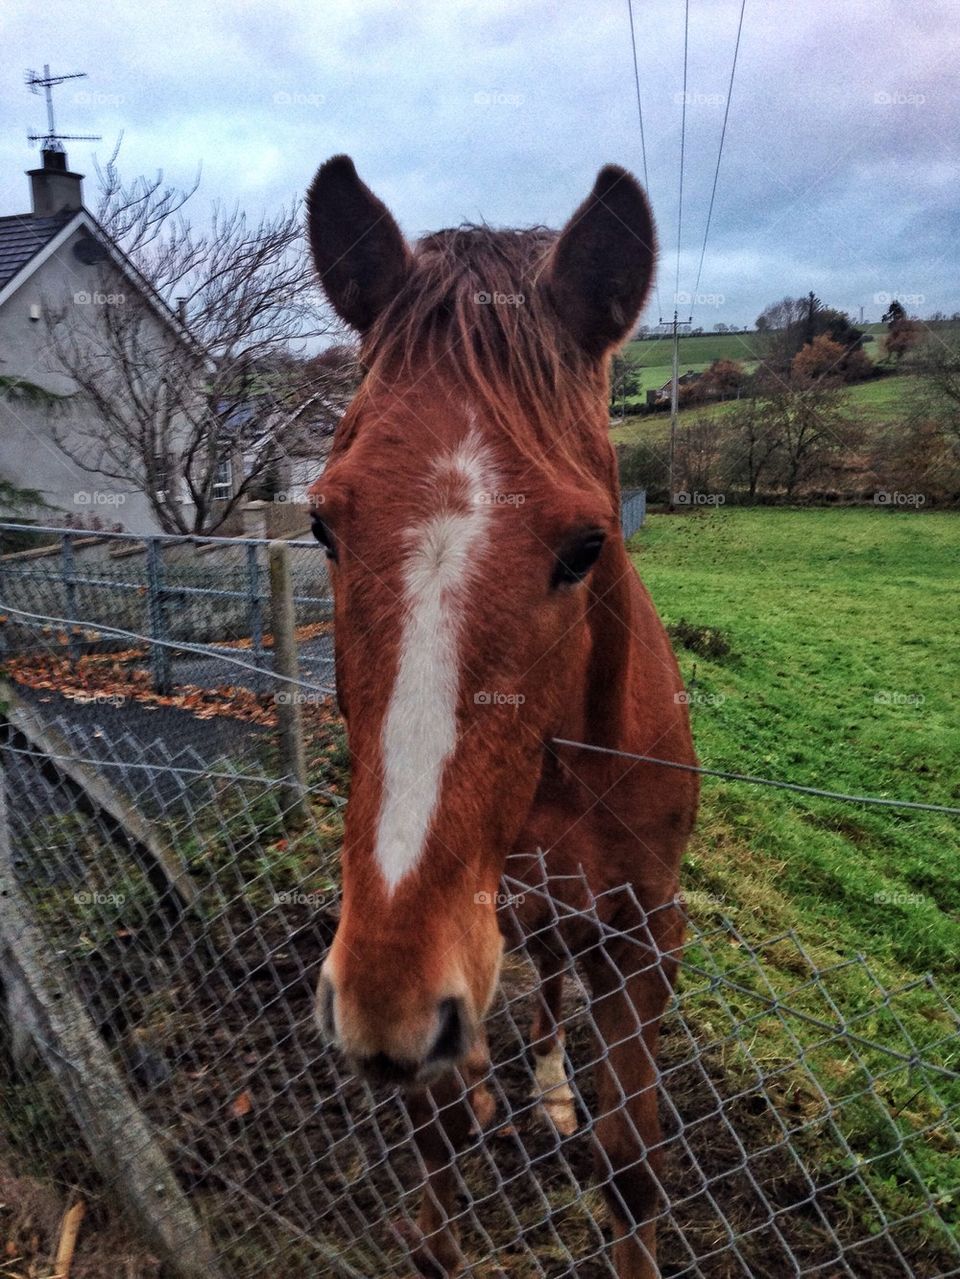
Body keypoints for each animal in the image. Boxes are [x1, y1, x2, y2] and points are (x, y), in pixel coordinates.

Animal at [308, 154, 700, 1273]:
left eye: (585, 546)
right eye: (321, 526)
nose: (386, 996)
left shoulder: (644, 936)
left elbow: (630, 1169)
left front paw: (575, 1112)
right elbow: (438, 1140)